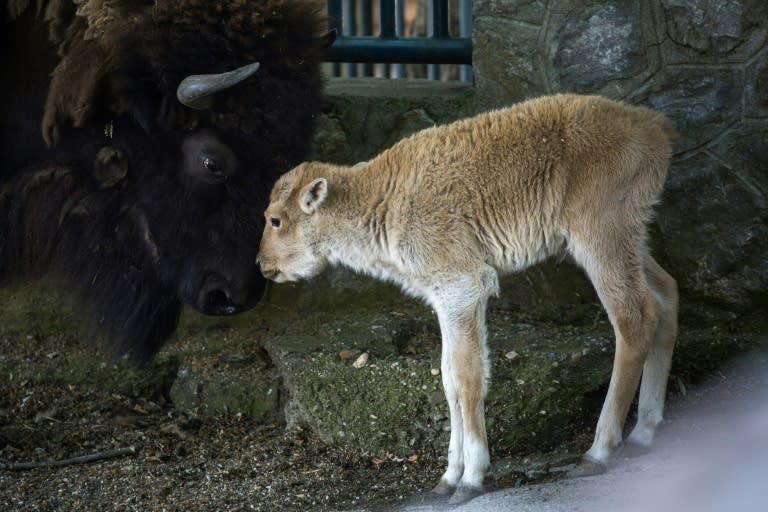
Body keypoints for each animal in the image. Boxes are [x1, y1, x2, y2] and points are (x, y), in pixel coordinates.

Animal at [256, 93, 680, 504]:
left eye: (275, 219)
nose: (262, 264)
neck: (384, 198)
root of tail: (654, 126)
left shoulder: (463, 288)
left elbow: (467, 378)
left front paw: (471, 478)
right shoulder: (444, 300)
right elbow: (447, 379)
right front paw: (446, 478)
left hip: (599, 239)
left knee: (633, 318)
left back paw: (599, 451)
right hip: (631, 239)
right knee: (666, 294)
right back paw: (644, 432)